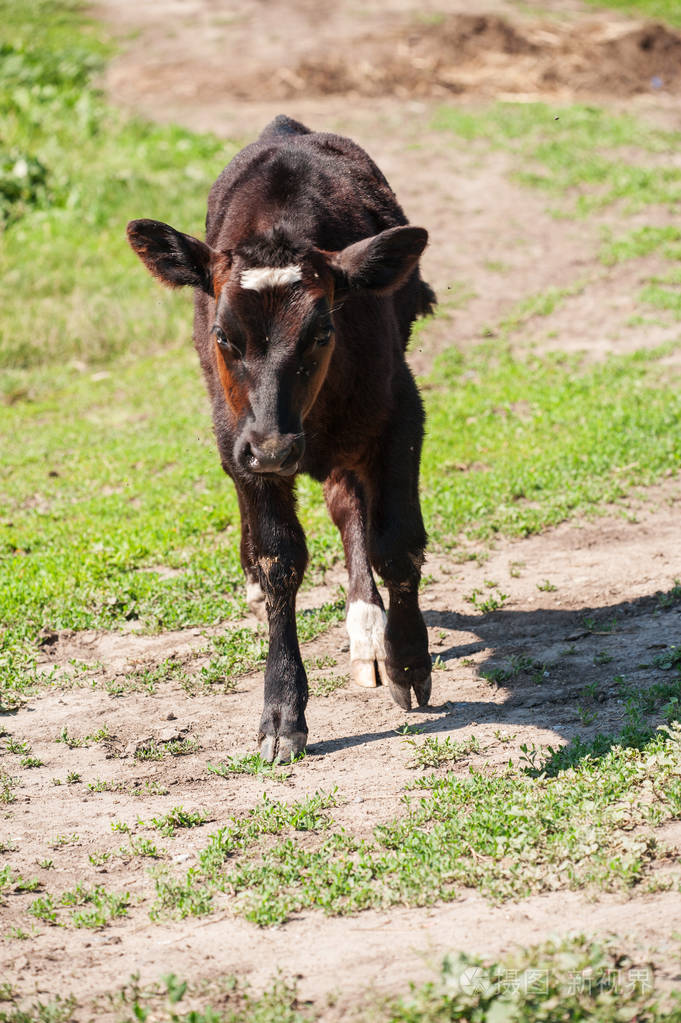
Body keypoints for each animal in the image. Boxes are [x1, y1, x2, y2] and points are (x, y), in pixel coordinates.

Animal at [127, 117, 435, 761]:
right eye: (223, 335)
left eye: (322, 332)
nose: (273, 449)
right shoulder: (236, 440)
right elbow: (278, 561)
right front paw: (282, 710)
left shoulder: (400, 414)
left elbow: (394, 543)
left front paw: (408, 658)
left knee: (349, 509)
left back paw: (369, 632)